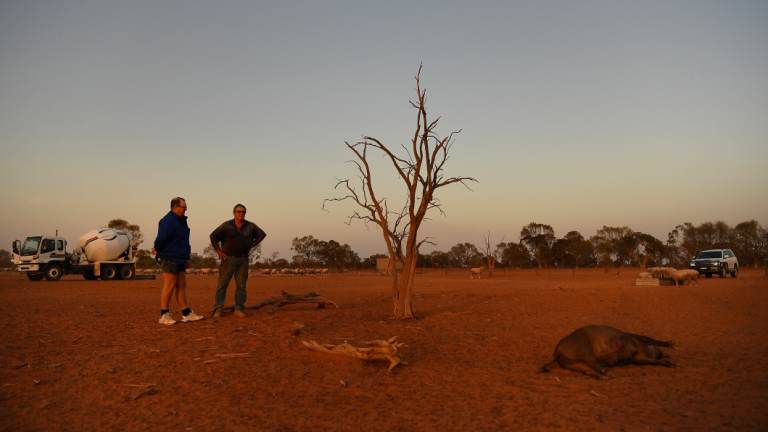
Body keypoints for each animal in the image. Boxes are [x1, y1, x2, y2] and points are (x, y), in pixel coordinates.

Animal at [540, 325, 674, 379]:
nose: (660, 353)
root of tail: (557, 350)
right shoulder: (635, 339)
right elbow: (650, 339)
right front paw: (670, 344)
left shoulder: (638, 357)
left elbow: (650, 361)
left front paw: (668, 363)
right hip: (585, 351)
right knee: (593, 364)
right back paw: (607, 372)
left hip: (571, 364)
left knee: (587, 370)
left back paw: (602, 376)